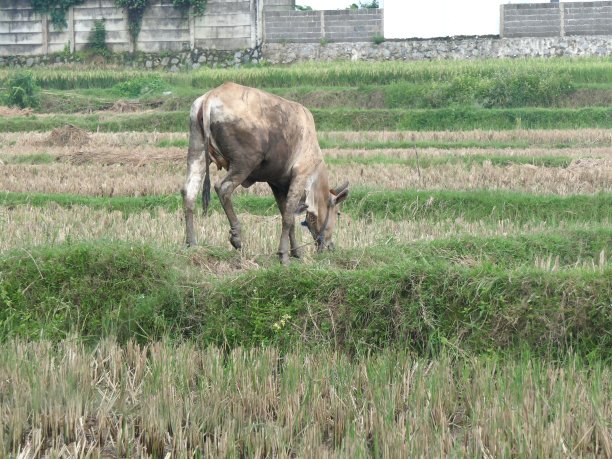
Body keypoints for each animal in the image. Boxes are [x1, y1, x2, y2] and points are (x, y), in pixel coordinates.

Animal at [182, 81, 350, 264]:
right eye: (338, 212)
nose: (330, 246)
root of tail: (210, 97)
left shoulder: (277, 183)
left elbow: (288, 216)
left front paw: (296, 252)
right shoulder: (300, 176)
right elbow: (288, 217)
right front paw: (284, 256)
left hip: (197, 152)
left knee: (189, 193)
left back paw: (192, 243)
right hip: (244, 162)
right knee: (223, 188)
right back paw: (236, 237)